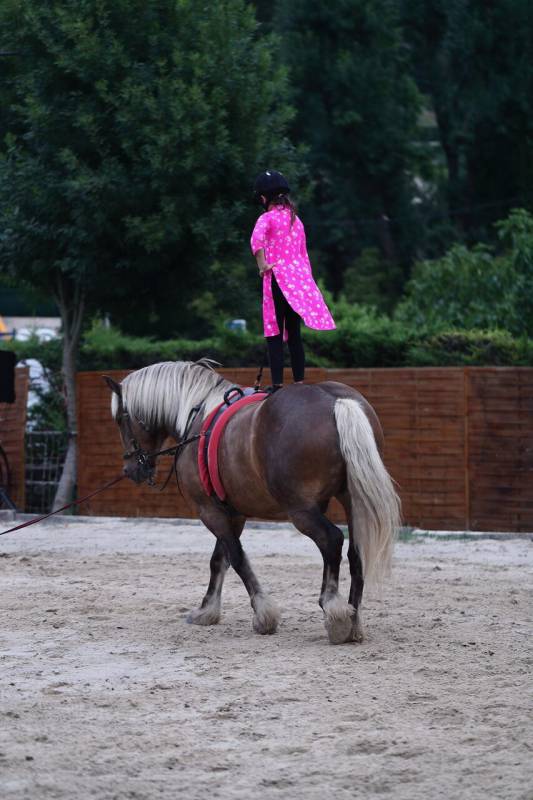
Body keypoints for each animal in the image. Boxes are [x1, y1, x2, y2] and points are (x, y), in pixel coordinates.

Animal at [104, 360, 400, 648]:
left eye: (120, 419)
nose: (130, 469)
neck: (198, 418)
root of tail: (336, 400)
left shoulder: (209, 511)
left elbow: (236, 557)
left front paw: (263, 614)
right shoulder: (233, 514)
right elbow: (219, 559)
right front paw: (207, 610)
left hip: (301, 510)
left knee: (332, 541)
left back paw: (335, 612)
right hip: (352, 500)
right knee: (356, 553)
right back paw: (353, 621)